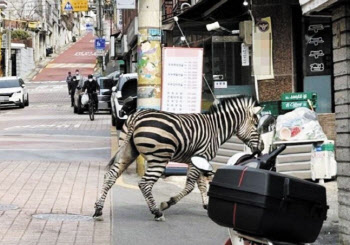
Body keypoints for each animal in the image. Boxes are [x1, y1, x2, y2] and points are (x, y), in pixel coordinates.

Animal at [93, 96, 262, 221]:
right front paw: (167, 203)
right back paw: (157, 212)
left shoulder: (200, 159)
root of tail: (137, 116)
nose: (260, 149)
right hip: (159, 158)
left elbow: (202, 184)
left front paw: (207, 205)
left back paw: (98, 210)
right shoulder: (201, 157)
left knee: (110, 176)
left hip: (127, 151)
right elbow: (191, 186)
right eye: (256, 125)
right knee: (144, 183)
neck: (216, 129)